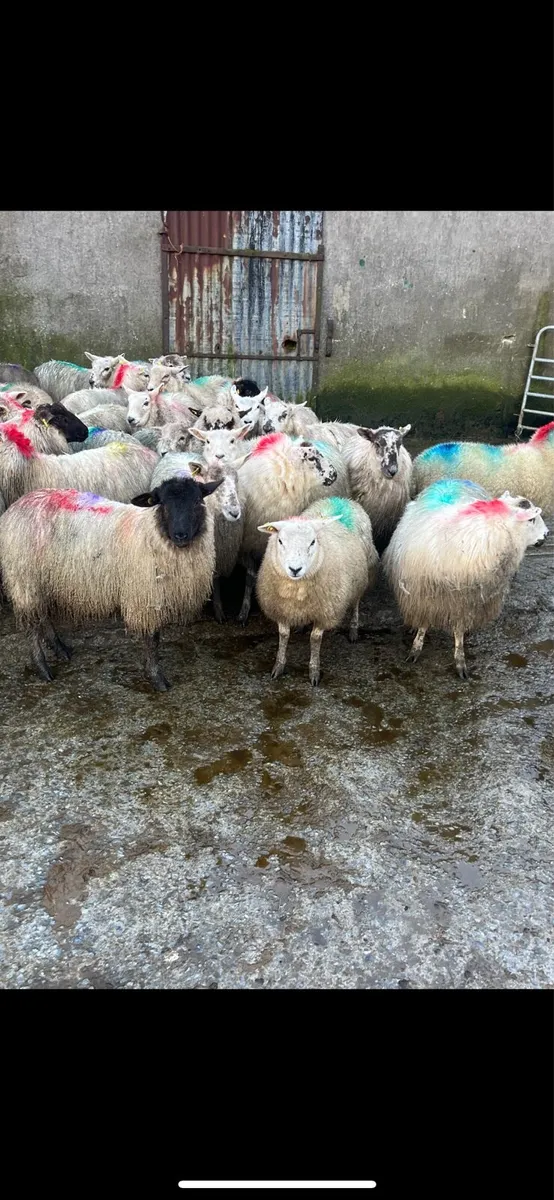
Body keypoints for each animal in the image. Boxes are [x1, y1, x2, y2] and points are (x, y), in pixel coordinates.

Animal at [0, 475, 222, 690]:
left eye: (197, 501)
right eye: (163, 504)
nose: (180, 535)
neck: (152, 534)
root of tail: (16, 506)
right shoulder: (144, 597)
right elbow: (152, 639)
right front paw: (157, 678)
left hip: (41, 579)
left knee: (43, 614)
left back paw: (60, 649)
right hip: (23, 578)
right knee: (32, 625)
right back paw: (42, 667)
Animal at [256, 496, 378, 686]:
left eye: (312, 542)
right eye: (280, 541)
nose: (295, 569)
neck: (296, 589)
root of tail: (341, 500)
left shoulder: (325, 611)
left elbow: (315, 639)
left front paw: (314, 671)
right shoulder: (281, 609)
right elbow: (283, 635)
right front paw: (279, 666)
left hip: (361, 578)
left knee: (356, 604)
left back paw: (353, 630)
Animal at [382, 479, 549, 680]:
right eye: (532, 519)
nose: (547, 534)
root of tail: (453, 479)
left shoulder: (467, 601)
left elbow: (459, 631)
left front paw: (460, 660)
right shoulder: (423, 595)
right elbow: (423, 624)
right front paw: (416, 649)